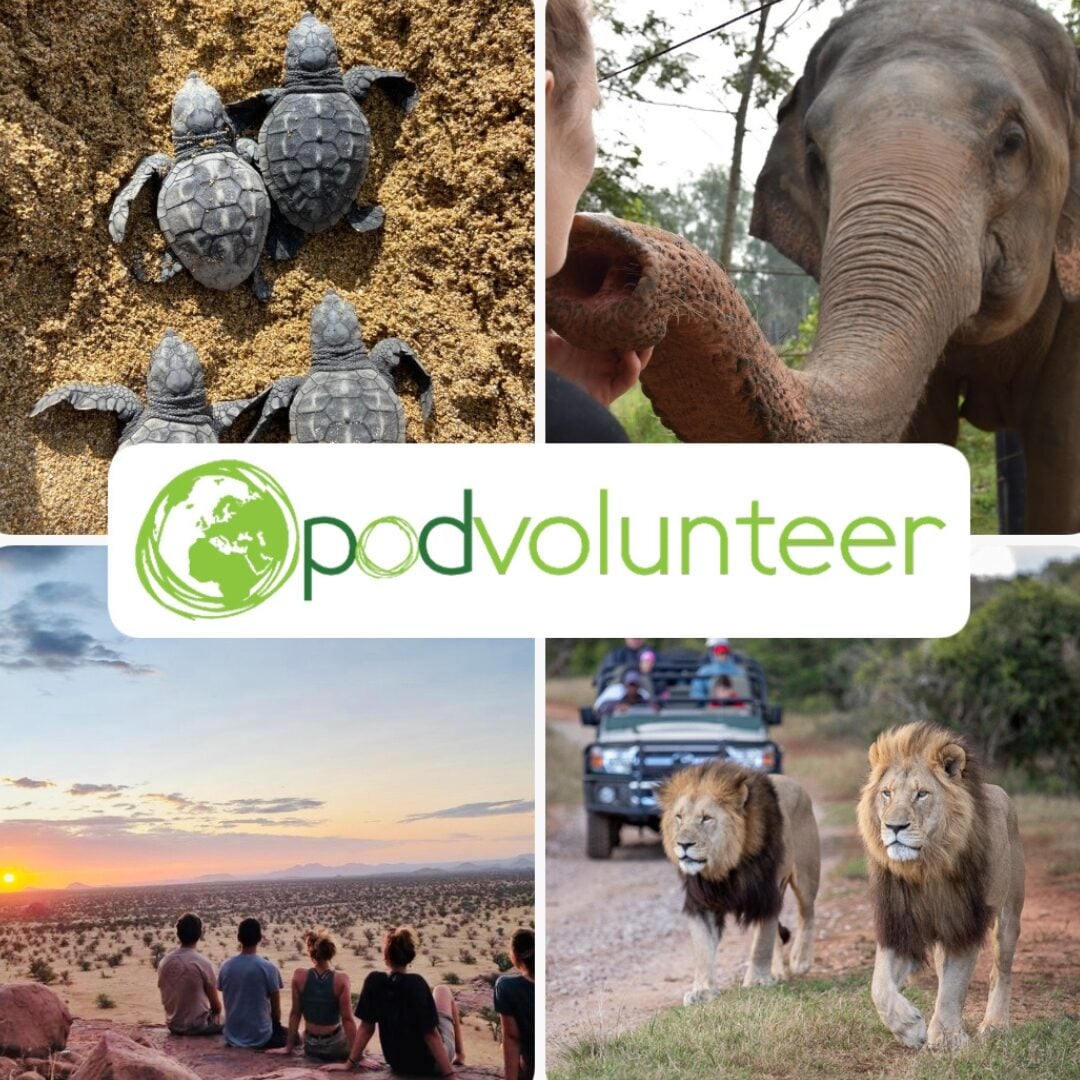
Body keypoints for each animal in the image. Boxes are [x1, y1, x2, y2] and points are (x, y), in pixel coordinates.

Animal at [658, 761, 820, 1004]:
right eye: (679, 817)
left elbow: (761, 942)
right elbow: (703, 948)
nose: (683, 844)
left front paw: (757, 982)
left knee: (806, 913)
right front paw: (703, 990)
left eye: (706, 818)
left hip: (806, 875)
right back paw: (777, 973)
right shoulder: (701, 903)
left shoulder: (767, 895)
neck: (726, 867)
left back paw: (800, 960)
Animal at [857, 722, 1025, 1050]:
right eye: (886, 793)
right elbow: (879, 987)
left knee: (1000, 970)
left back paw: (995, 1024)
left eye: (922, 794)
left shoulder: (963, 923)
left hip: (1009, 914)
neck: (924, 869)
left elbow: (953, 983)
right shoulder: (900, 925)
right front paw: (910, 1028)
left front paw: (946, 1038)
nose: (894, 827)